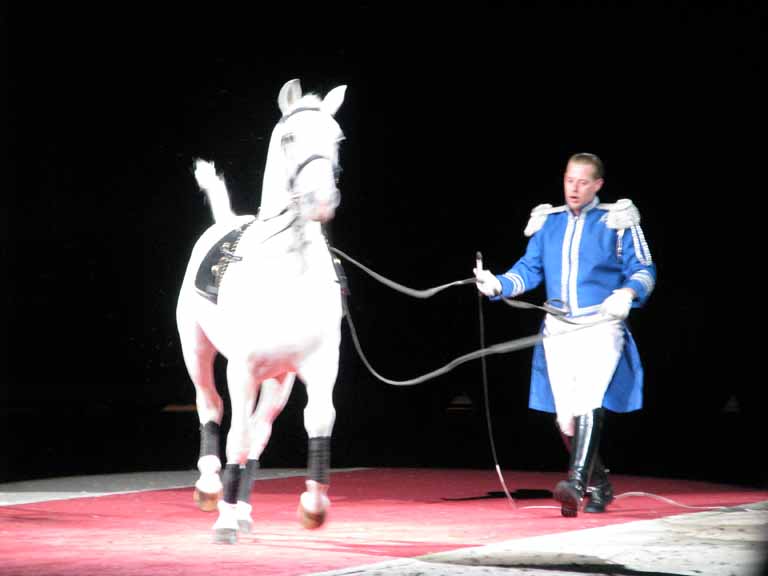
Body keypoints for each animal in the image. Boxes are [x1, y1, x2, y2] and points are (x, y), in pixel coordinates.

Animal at [176, 79, 346, 544]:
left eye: (337, 138)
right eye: (290, 138)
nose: (321, 199)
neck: (288, 265)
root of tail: (225, 220)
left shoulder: (319, 365)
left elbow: (318, 420)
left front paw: (313, 505)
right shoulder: (242, 368)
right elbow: (235, 434)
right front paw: (224, 520)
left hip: (279, 379)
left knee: (261, 430)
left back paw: (244, 508)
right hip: (196, 349)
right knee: (211, 406)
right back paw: (211, 487)